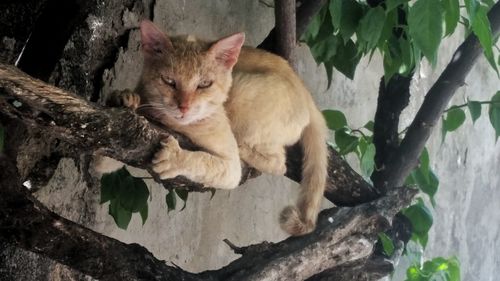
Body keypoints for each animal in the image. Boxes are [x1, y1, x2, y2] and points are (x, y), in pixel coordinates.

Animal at [104, 19, 330, 234]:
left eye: (204, 84)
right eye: (169, 81)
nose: (184, 107)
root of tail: (307, 94)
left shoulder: (231, 170)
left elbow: (203, 161)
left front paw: (174, 157)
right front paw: (125, 98)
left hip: (243, 91)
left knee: (279, 163)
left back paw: (243, 149)